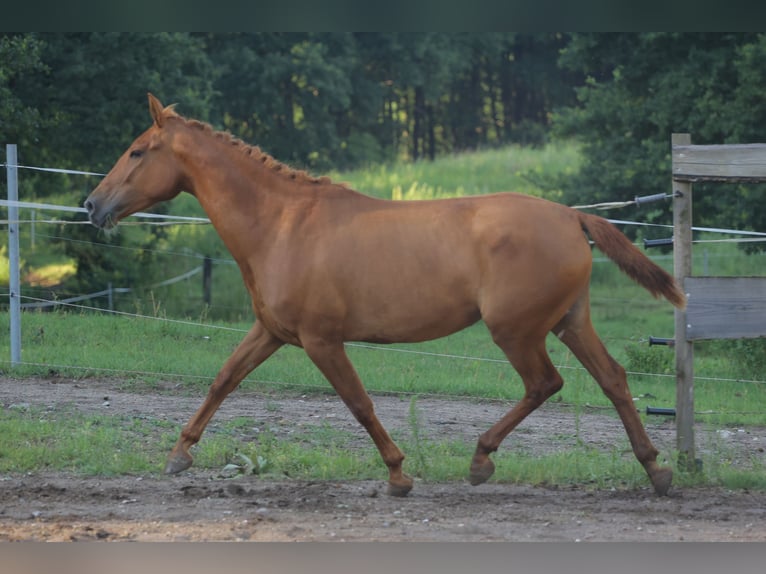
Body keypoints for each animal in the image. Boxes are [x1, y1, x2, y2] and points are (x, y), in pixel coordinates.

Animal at [85, 92, 688, 498]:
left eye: (137, 152)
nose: (93, 205)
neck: (281, 225)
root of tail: (570, 217)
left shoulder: (321, 340)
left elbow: (359, 403)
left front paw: (399, 474)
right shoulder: (271, 332)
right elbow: (223, 380)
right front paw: (178, 454)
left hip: (516, 331)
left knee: (546, 383)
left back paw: (481, 460)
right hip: (570, 320)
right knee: (613, 379)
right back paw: (656, 470)